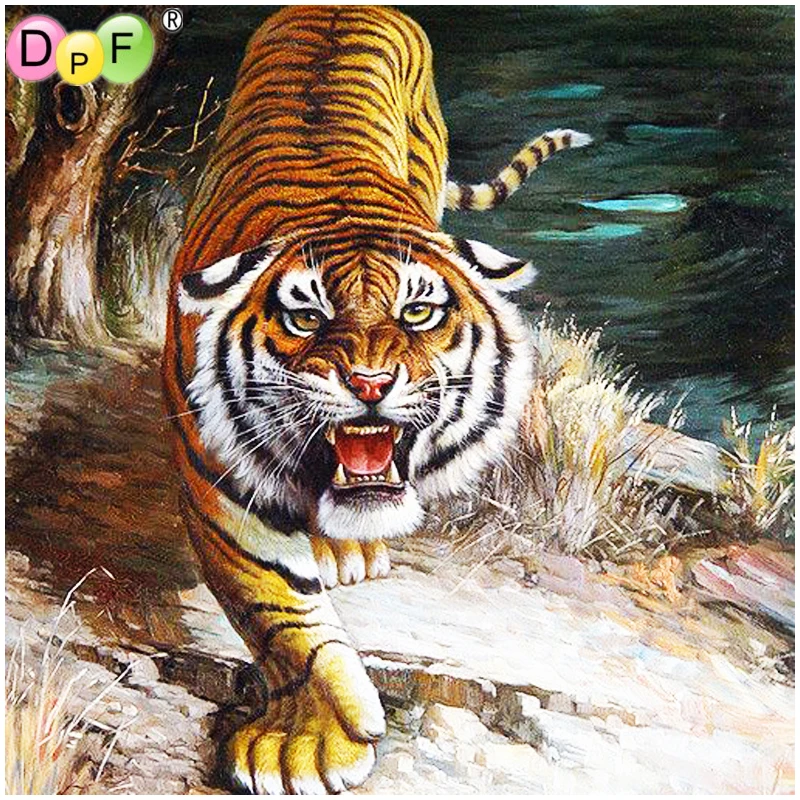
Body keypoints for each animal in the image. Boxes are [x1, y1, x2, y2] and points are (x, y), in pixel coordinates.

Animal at [163, 6, 590, 794]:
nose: (369, 384)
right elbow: (278, 612)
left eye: (418, 312)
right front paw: (305, 743)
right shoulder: (217, 479)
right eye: (306, 317)